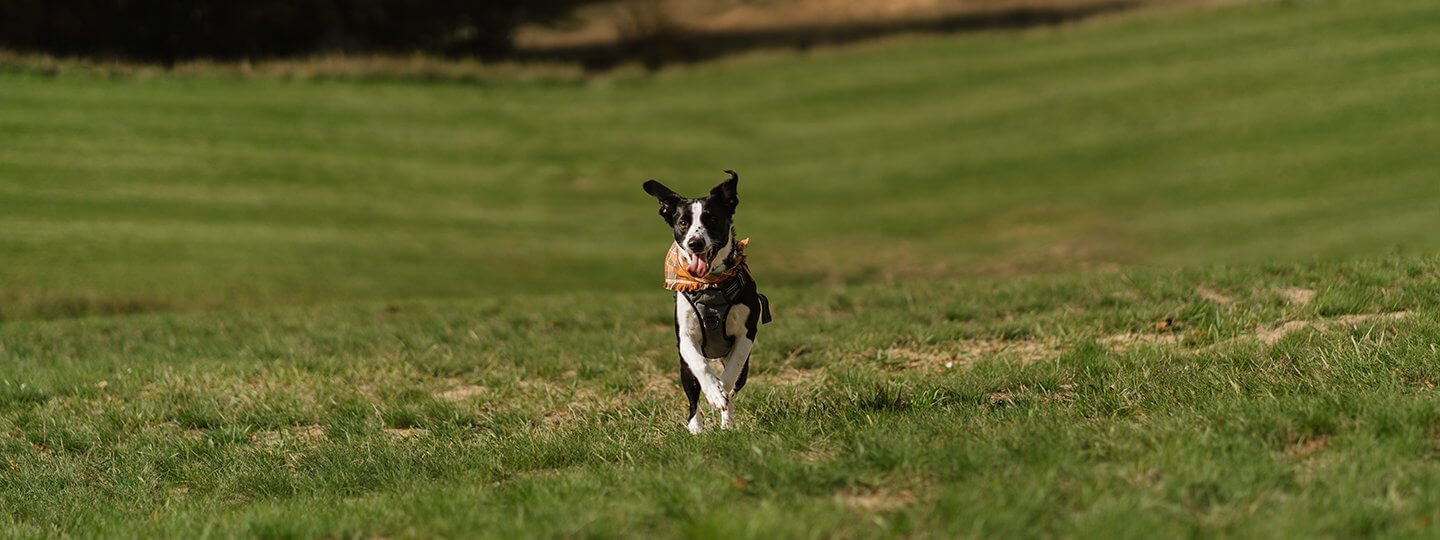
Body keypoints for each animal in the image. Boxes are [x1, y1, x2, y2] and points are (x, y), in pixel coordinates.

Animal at [648, 171, 771, 434]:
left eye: (712, 219)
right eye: (683, 222)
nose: (695, 243)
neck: (710, 286)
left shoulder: (747, 333)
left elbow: (732, 373)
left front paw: (720, 392)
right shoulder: (685, 338)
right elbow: (700, 366)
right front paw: (713, 392)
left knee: (735, 382)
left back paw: (727, 422)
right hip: (683, 369)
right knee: (692, 394)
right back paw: (695, 427)